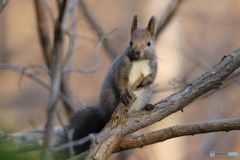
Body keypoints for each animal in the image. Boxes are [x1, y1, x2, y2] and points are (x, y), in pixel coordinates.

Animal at [55, 14, 158, 159]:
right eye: (130, 42)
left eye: (149, 43)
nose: (137, 51)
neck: (140, 61)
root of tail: (102, 114)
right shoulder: (121, 67)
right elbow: (119, 80)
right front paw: (125, 93)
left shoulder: (153, 67)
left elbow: (150, 78)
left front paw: (143, 83)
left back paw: (146, 106)